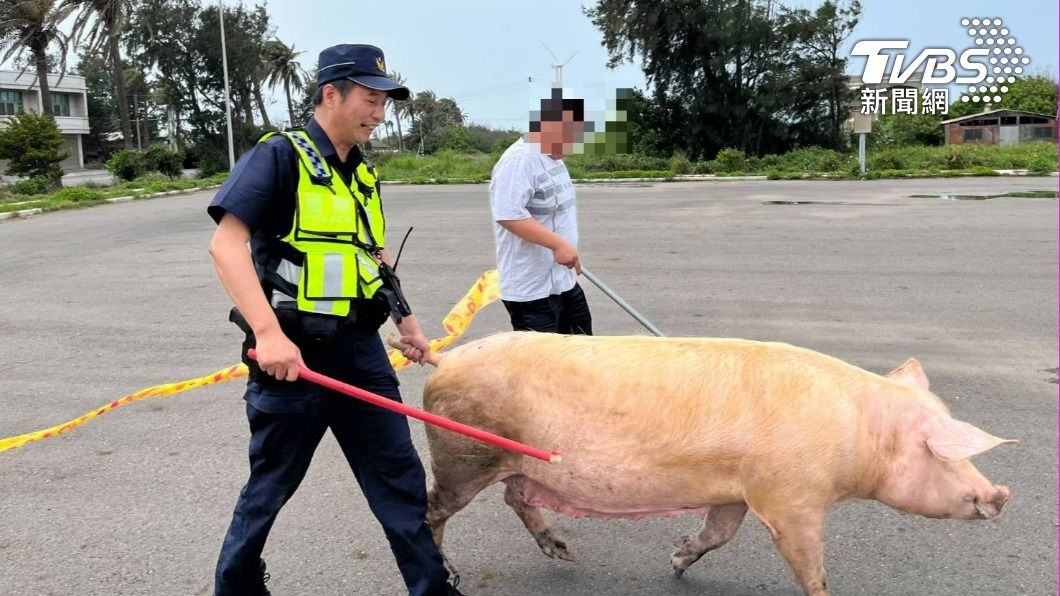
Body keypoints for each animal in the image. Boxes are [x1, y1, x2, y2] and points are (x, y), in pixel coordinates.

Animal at [415, 330, 1017, 589]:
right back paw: (450, 573)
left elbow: (718, 534)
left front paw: (676, 562)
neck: (859, 436)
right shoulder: (791, 499)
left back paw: (564, 553)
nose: (1001, 494)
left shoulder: (737, 492)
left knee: (516, 496)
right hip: (463, 454)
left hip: (516, 461)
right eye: (941, 450)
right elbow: (809, 564)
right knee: (431, 507)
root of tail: (446, 358)